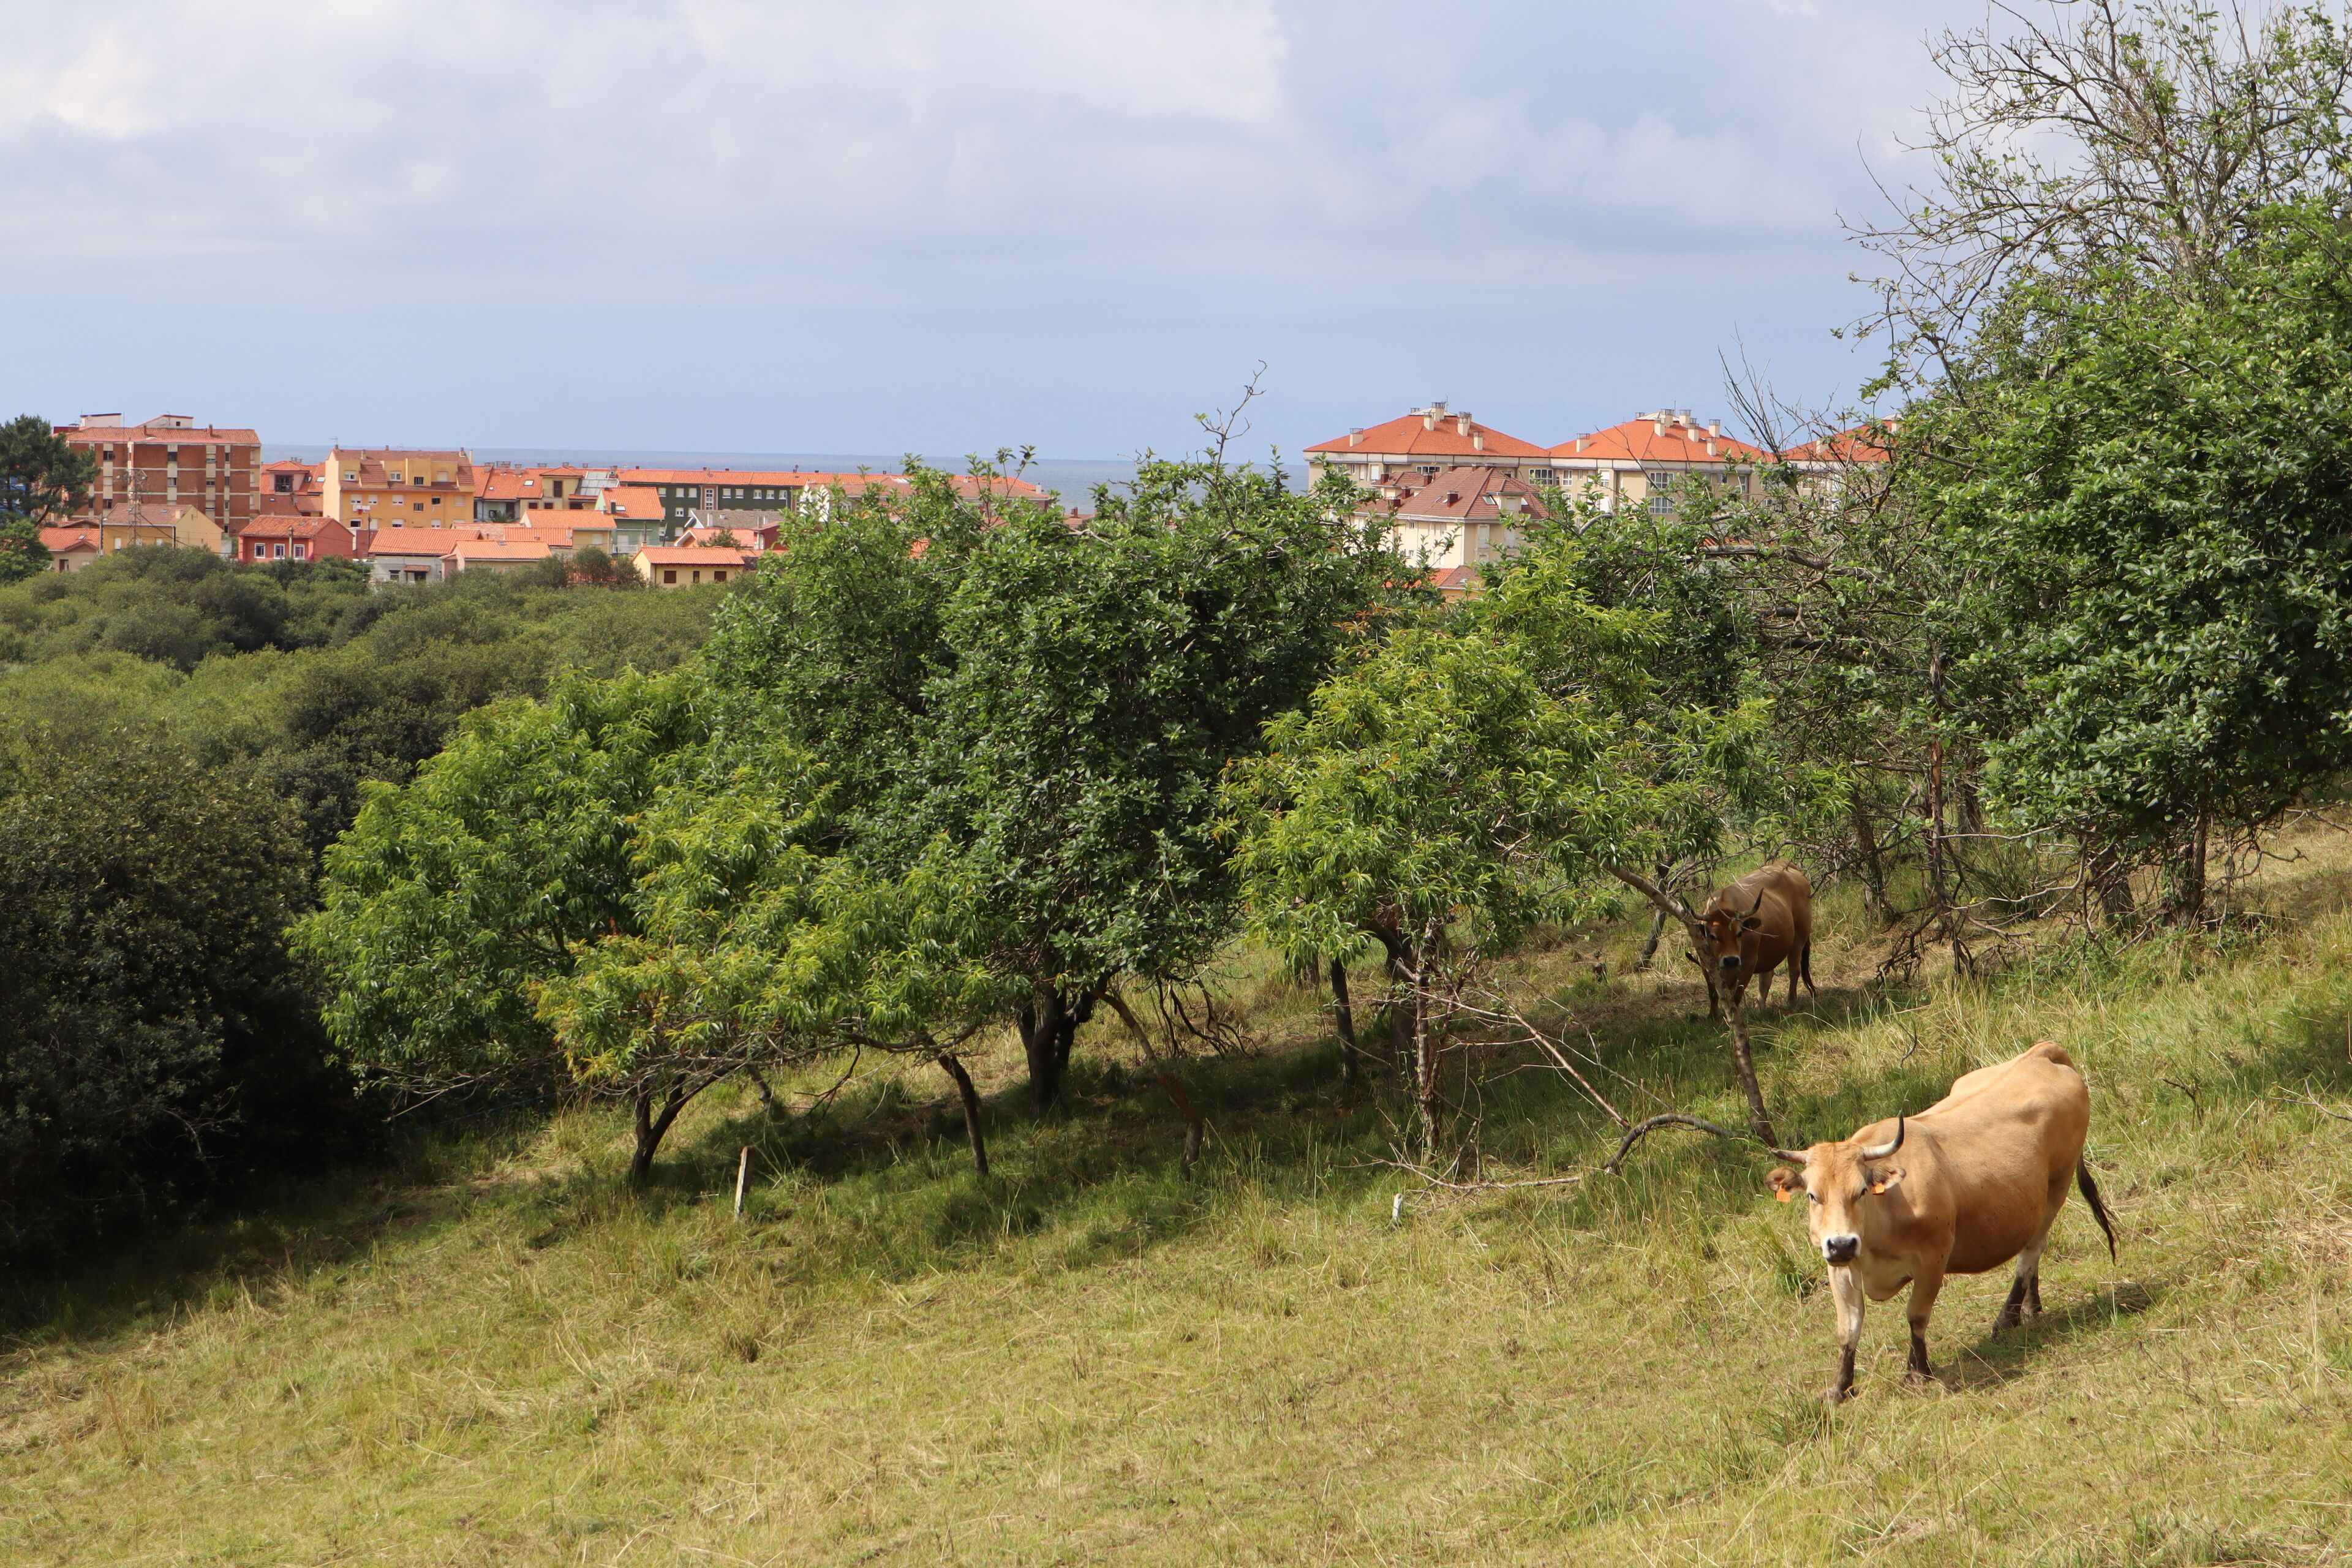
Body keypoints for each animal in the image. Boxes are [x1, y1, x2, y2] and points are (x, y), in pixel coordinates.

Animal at [1700, 860, 1815, 1013]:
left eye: (1740, 933)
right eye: (1712, 936)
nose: (1731, 960)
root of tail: (1784, 864)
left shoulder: (1749, 962)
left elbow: (1737, 994)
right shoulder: (1705, 964)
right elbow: (1714, 993)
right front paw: (1713, 1016)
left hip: (1799, 937)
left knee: (1794, 968)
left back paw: (1791, 1001)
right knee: (1766, 977)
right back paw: (1759, 1007)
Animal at [1766, 1040, 2119, 1402]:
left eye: (1862, 1191)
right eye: (1813, 1196)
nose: (1841, 1243)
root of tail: (2041, 1053)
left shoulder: (1932, 1258)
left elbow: (1917, 1315)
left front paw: (1918, 1371)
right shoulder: (1838, 1269)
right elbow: (1848, 1329)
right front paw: (1839, 1387)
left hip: (2056, 1187)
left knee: (2031, 1251)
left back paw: (2007, 1317)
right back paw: (2030, 1308)